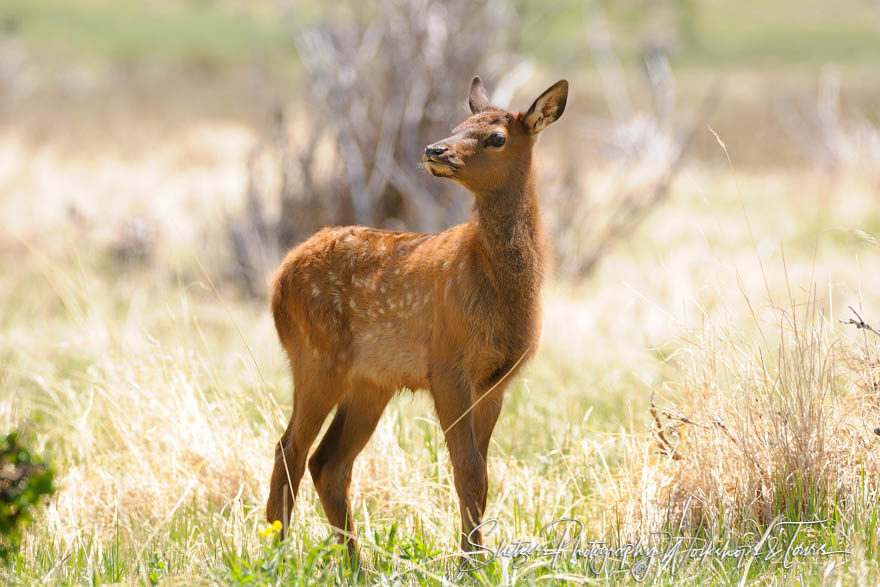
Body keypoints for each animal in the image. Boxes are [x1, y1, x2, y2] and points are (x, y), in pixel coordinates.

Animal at [266, 76, 572, 560]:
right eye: (457, 125)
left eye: (496, 137)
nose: (434, 149)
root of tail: (278, 277)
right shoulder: (446, 365)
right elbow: (467, 472)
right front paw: (470, 565)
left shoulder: (496, 382)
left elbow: (481, 477)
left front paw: (473, 558)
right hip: (315, 358)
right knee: (289, 451)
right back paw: (278, 559)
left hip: (370, 381)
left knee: (328, 462)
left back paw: (356, 565)